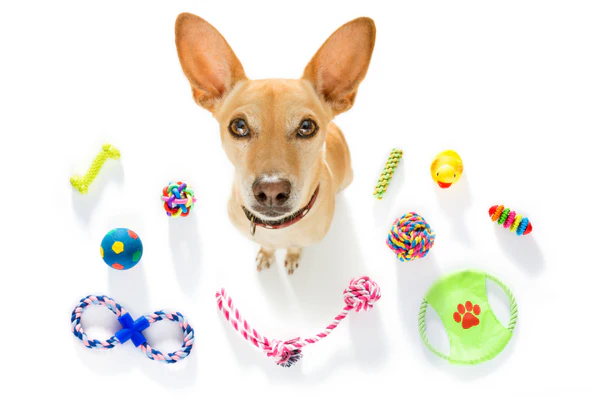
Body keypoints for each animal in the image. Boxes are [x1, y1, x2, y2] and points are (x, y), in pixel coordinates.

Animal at [175, 13, 375, 274]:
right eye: (239, 126)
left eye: (307, 126)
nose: (271, 190)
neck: (277, 229)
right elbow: (267, 247)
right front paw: (266, 254)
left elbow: (296, 246)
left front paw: (291, 256)